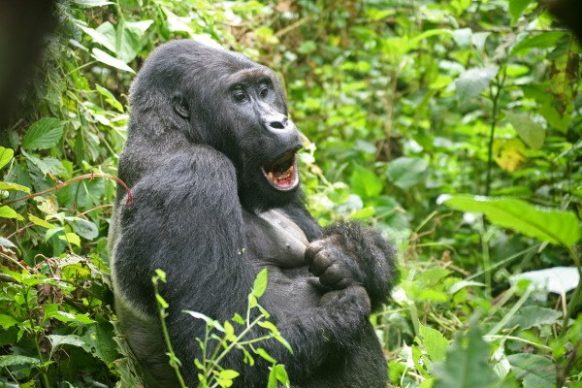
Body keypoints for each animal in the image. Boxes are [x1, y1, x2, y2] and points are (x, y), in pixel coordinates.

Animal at [109, 40, 400, 388]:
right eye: (238, 97)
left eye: (264, 90)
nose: (279, 122)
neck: (168, 134)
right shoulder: (194, 176)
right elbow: (219, 352)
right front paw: (346, 306)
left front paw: (348, 254)